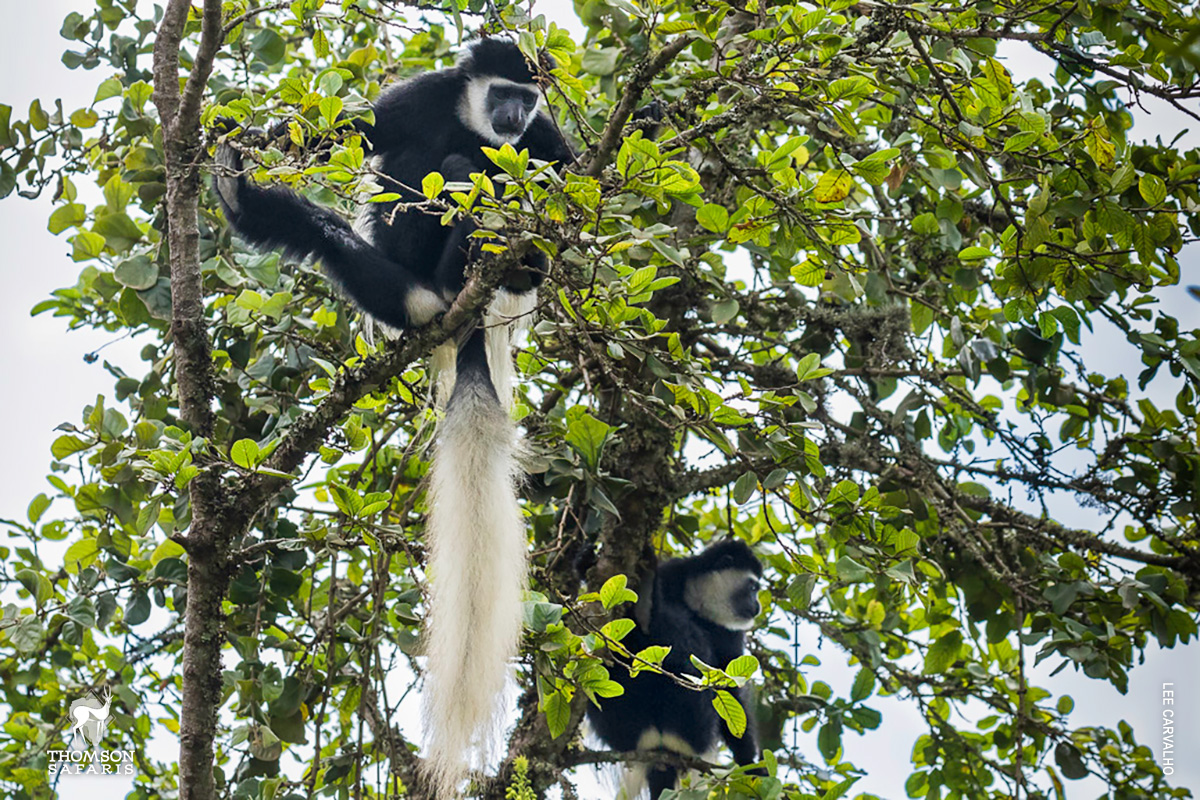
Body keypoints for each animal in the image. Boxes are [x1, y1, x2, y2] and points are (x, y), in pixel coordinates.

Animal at [218, 38, 578, 800]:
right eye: (501, 91)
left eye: (526, 99)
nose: (509, 116)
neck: (475, 120)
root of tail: (456, 319)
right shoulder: (416, 98)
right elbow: (342, 131)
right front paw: (252, 137)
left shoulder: (544, 139)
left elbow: (565, 196)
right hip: (392, 264)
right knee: (354, 227)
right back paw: (252, 204)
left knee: (479, 185)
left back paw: (484, 259)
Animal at [585, 542, 763, 796]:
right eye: (753, 587)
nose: (757, 606)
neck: (698, 605)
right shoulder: (671, 574)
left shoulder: (730, 634)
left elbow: (730, 688)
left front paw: (752, 765)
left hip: (695, 726)